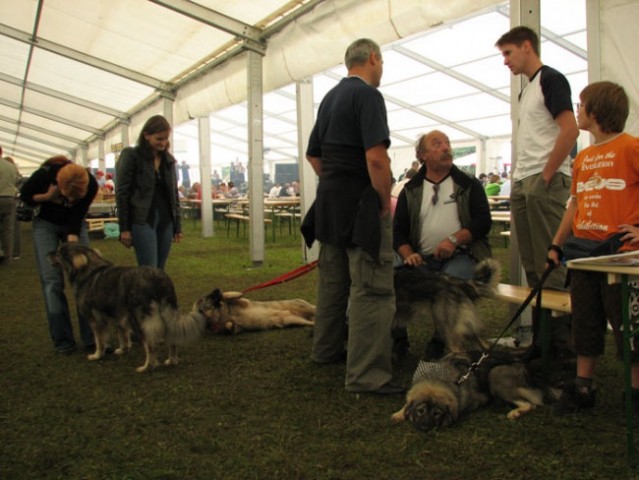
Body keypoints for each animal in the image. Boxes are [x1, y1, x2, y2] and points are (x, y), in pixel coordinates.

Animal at [48, 244, 208, 372]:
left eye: (59, 252)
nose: (47, 254)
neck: (88, 270)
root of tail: (159, 279)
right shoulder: (118, 314)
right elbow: (123, 335)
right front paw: (123, 349)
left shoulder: (95, 319)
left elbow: (99, 341)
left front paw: (97, 355)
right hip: (165, 316)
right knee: (172, 341)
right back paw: (172, 360)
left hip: (139, 320)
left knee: (150, 346)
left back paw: (146, 367)